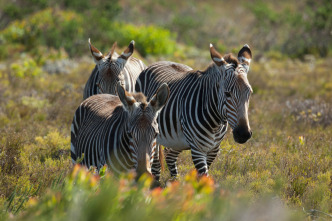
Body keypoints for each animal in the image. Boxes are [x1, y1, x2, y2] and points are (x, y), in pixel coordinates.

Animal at [134, 44, 252, 177]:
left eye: (249, 93)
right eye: (227, 94)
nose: (243, 134)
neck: (215, 123)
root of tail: (159, 62)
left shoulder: (213, 150)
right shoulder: (197, 149)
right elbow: (204, 176)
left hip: (176, 139)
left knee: (170, 156)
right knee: (155, 166)